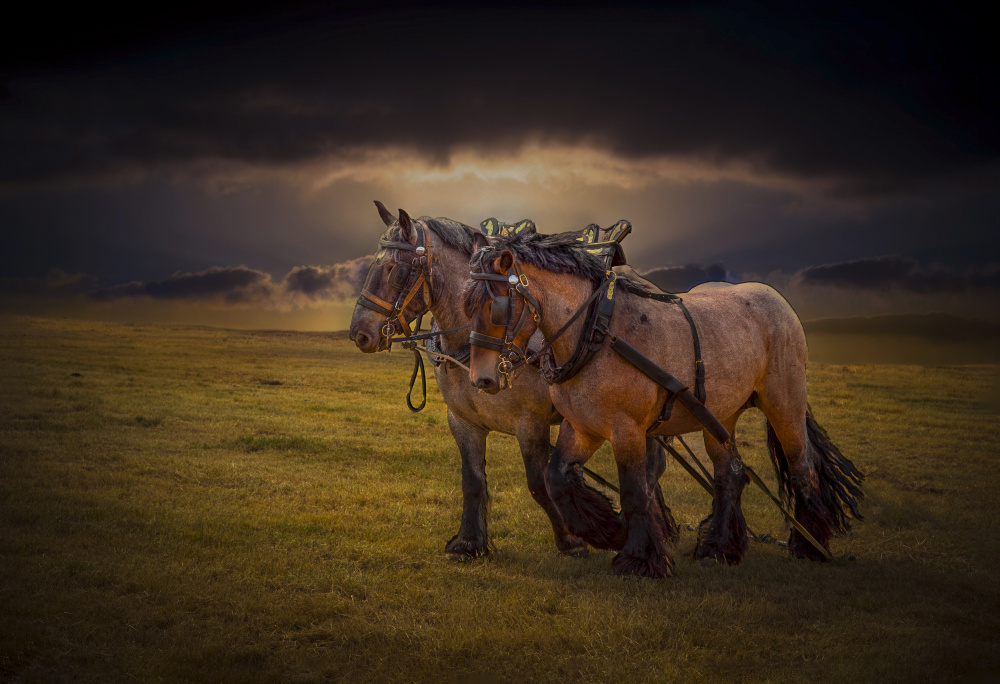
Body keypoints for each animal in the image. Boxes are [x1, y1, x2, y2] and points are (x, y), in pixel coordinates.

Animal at [348, 203, 678, 559]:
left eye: (394, 269)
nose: (360, 333)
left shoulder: (531, 423)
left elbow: (538, 483)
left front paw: (573, 539)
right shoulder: (463, 421)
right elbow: (473, 481)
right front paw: (469, 542)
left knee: (651, 467)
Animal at [464, 231, 864, 578]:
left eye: (497, 306)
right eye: (467, 306)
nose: (481, 380)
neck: (596, 332)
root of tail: (779, 301)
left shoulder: (627, 428)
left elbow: (634, 491)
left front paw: (639, 560)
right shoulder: (581, 427)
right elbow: (556, 478)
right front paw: (608, 532)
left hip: (785, 402)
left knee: (803, 469)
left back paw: (808, 545)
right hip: (720, 416)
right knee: (730, 474)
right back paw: (718, 548)